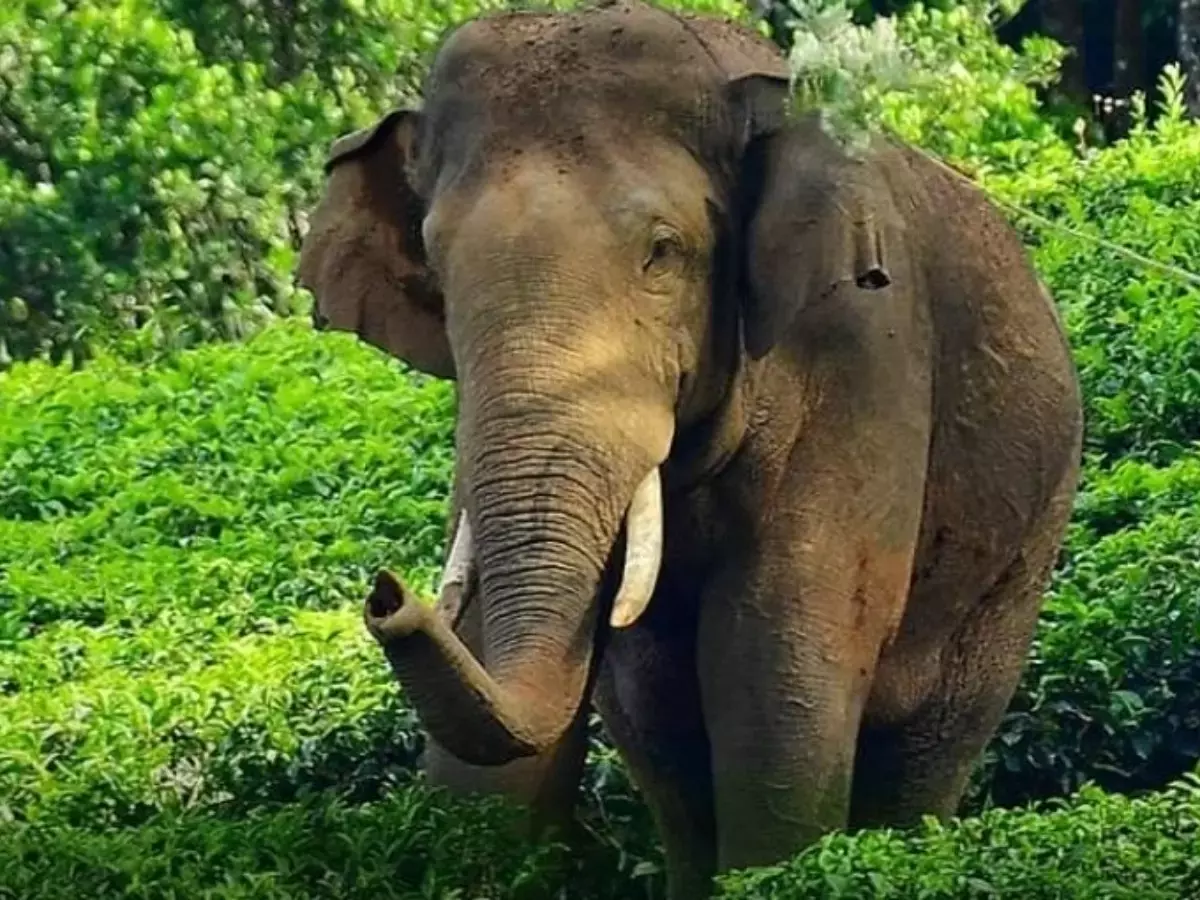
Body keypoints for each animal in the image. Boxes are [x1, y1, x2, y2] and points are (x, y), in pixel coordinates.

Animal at [296, 1, 1083, 896]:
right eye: (435, 260)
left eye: (663, 251)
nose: (388, 592)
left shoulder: (863, 348)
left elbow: (777, 655)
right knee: (661, 727)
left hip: (1028, 542)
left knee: (926, 748)